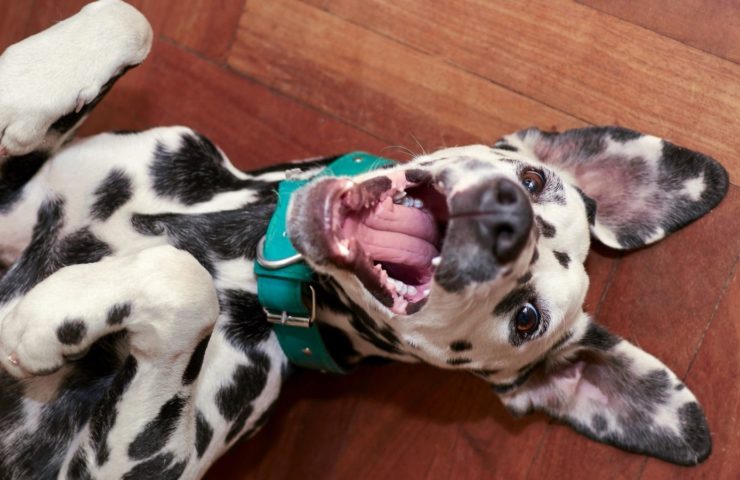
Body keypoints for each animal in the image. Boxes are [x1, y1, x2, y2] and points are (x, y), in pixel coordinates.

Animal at [0, 1, 728, 478]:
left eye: (527, 319)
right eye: (532, 177)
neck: (233, 242)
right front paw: (25, 90)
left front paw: (42, 320)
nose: (508, 219)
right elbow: (128, 19)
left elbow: (182, 282)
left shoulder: (128, 465)